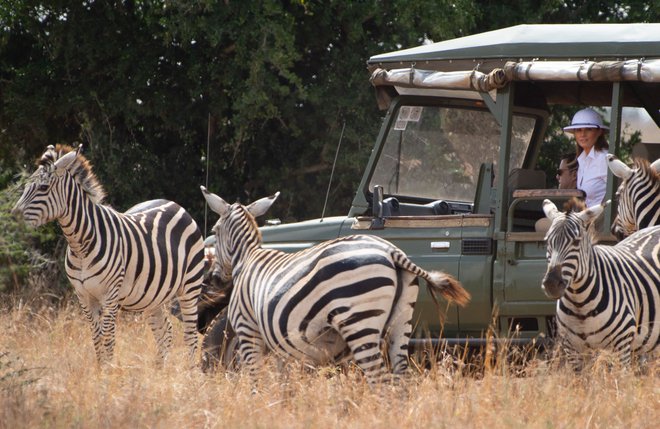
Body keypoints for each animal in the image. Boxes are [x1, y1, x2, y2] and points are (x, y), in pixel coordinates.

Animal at [12, 145, 204, 364]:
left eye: (43, 188)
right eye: (26, 186)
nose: (12, 217)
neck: (80, 245)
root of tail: (174, 204)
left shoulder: (110, 296)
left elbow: (108, 337)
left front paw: (108, 370)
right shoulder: (84, 296)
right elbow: (96, 337)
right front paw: (100, 368)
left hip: (190, 287)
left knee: (190, 334)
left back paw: (189, 369)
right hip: (153, 295)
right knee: (165, 330)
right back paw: (160, 368)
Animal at [201, 186, 470, 384]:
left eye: (214, 229)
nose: (212, 278)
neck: (247, 258)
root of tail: (391, 251)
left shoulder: (247, 329)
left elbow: (254, 378)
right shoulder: (281, 345)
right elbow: (284, 382)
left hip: (360, 322)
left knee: (379, 379)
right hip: (402, 320)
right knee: (400, 376)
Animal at [540, 199, 660, 366]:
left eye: (576, 242)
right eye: (547, 241)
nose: (551, 284)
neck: (580, 304)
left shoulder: (622, 346)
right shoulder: (572, 350)